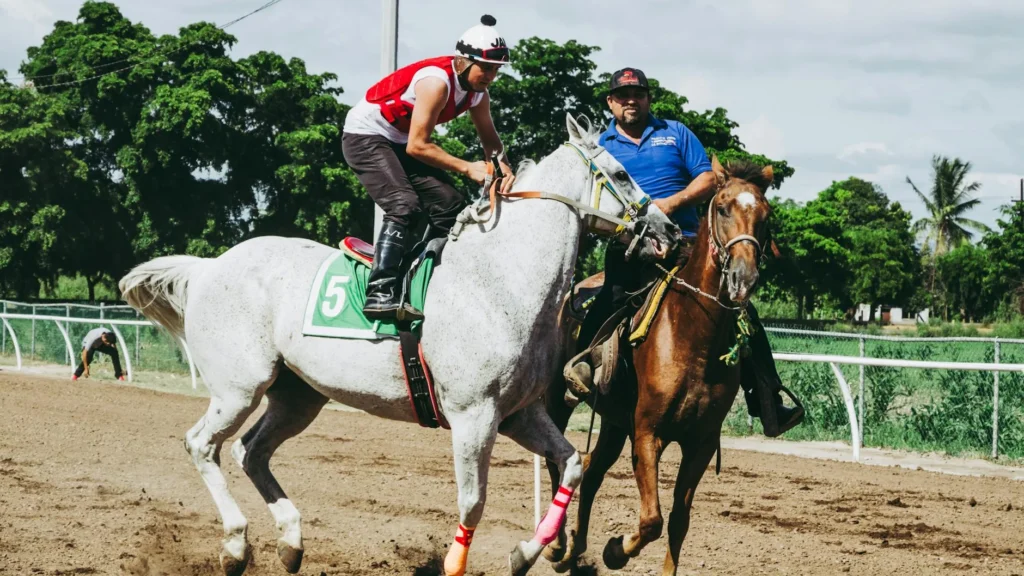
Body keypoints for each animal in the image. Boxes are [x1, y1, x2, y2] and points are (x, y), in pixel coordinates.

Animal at [118, 114, 681, 576]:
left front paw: (525, 553)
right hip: (239, 387)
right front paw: (457, 563)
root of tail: (207, 268)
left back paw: (291, 542)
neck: (500, 281)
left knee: (251, 451)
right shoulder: (473, 416)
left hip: (298, 395)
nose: (670, 231)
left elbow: (571, 462)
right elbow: (472, 501)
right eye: (623, 174)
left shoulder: (518, 414)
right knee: (202, 444)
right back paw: (236, 546)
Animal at [541, 156, 775, 575]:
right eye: (722, 208)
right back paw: (557, 545)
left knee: (593, 469)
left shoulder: (700, 442)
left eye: (765, 217)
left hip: (616, 422)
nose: (743, 277)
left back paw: (577, 548)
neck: (694, 338)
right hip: (559, 400)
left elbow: (678, 522)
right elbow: (652, 519)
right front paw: (616, 550)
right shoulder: (649, 434)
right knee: (561, 461)